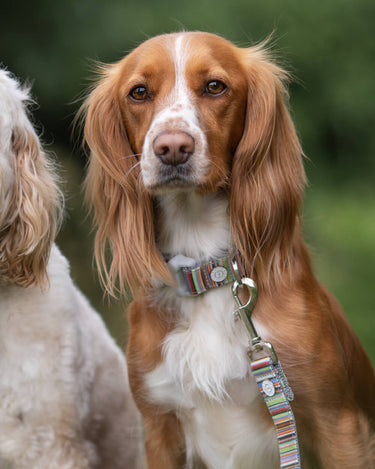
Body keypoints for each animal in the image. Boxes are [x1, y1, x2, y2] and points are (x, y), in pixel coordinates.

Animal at [80, 31, 375, 466]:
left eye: (215, 86)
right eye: (139, 92)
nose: (172, 147)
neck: (209, 271)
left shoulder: (336, 422)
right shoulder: (160, 427)